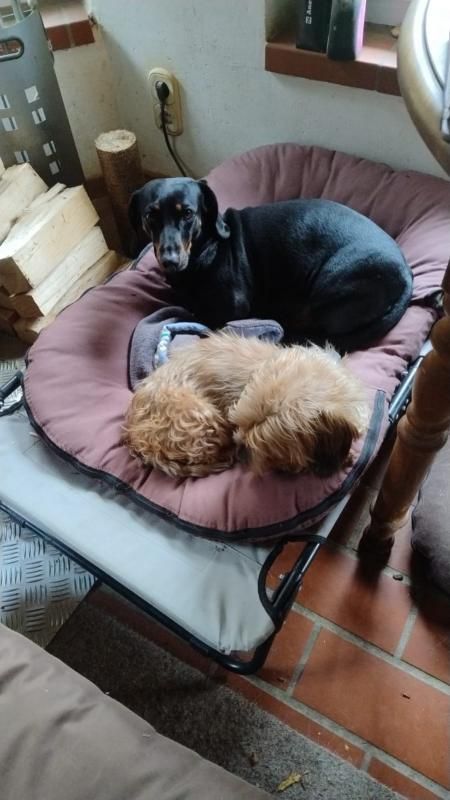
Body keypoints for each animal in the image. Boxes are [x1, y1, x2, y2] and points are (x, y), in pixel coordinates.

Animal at [129, 178, 413, 354]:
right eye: (150, 215)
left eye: (187, 213)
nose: (170, 260)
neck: (207, 249)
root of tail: (406, 276)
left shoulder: (233, 309)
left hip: (328, 289)